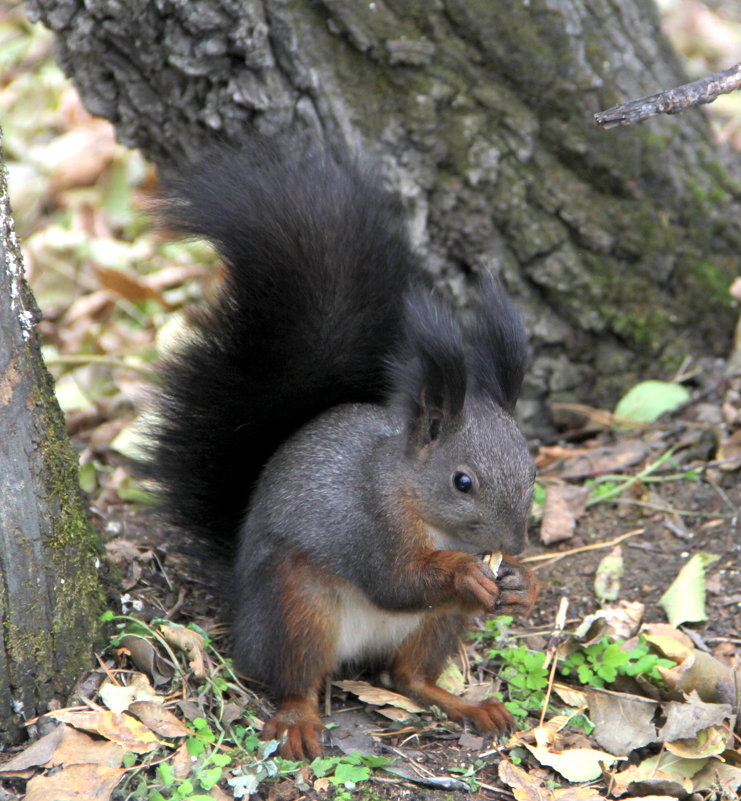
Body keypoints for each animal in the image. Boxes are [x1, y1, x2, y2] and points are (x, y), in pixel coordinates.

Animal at [143, 136, 536, 756]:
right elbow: (395, 580)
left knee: (408, 676)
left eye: (531, 466)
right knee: (296, 678)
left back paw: (468, 705)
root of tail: (244, 613)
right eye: (463, 481)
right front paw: (464, 575)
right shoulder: (368, 522)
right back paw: (299, 720)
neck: (425, 512)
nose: (514, 543)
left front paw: (523, 584)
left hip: (435, 626)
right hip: (299, 608)